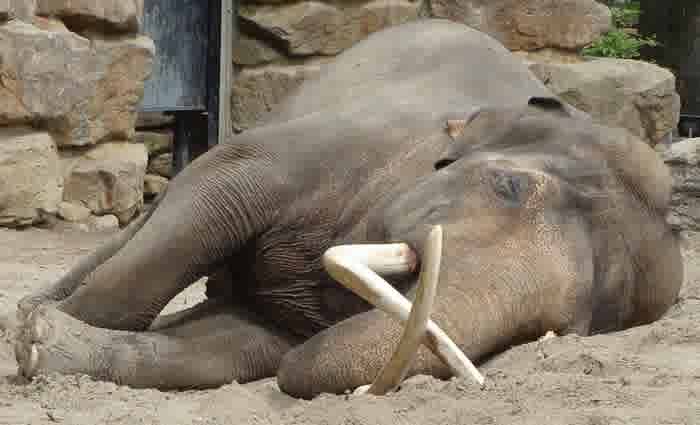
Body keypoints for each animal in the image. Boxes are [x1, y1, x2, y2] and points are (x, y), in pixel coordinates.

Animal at [14, 19, 683, 399]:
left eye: (564, 326)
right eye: (510, 187)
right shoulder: (339, 148)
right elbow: (220, 193)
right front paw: (28, 335)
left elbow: (246, 342)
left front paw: (43, 343)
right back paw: (34, 304)